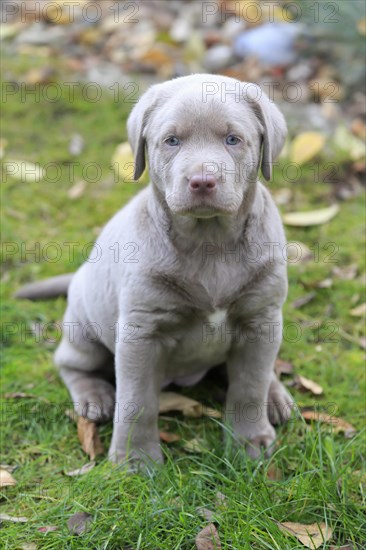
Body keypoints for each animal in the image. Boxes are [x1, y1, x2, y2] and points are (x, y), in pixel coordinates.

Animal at [16, 72, 294, 462]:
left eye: (233, 139)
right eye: (171, 141)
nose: (202, 181)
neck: (210, 242)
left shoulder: (261, 320)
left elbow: (249, 386)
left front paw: (249, 442)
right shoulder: (141, 331)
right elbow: (137, 400)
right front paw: (134, 460)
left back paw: (275, 395)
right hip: (83, 326)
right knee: (71, 363)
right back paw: (94, 397)